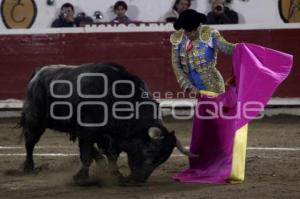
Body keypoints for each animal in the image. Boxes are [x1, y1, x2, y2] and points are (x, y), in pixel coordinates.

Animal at [19, 63, 186, 186]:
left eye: (162, 159)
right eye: (149, 150)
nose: (139, 180)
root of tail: (39, 72)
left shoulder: (109, 137)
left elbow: (112, 156)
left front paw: (116, 175)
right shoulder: (87, 132)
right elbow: (86, 156)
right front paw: (81, 179)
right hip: (35, 121)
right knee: (30, 142)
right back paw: (29, 168)